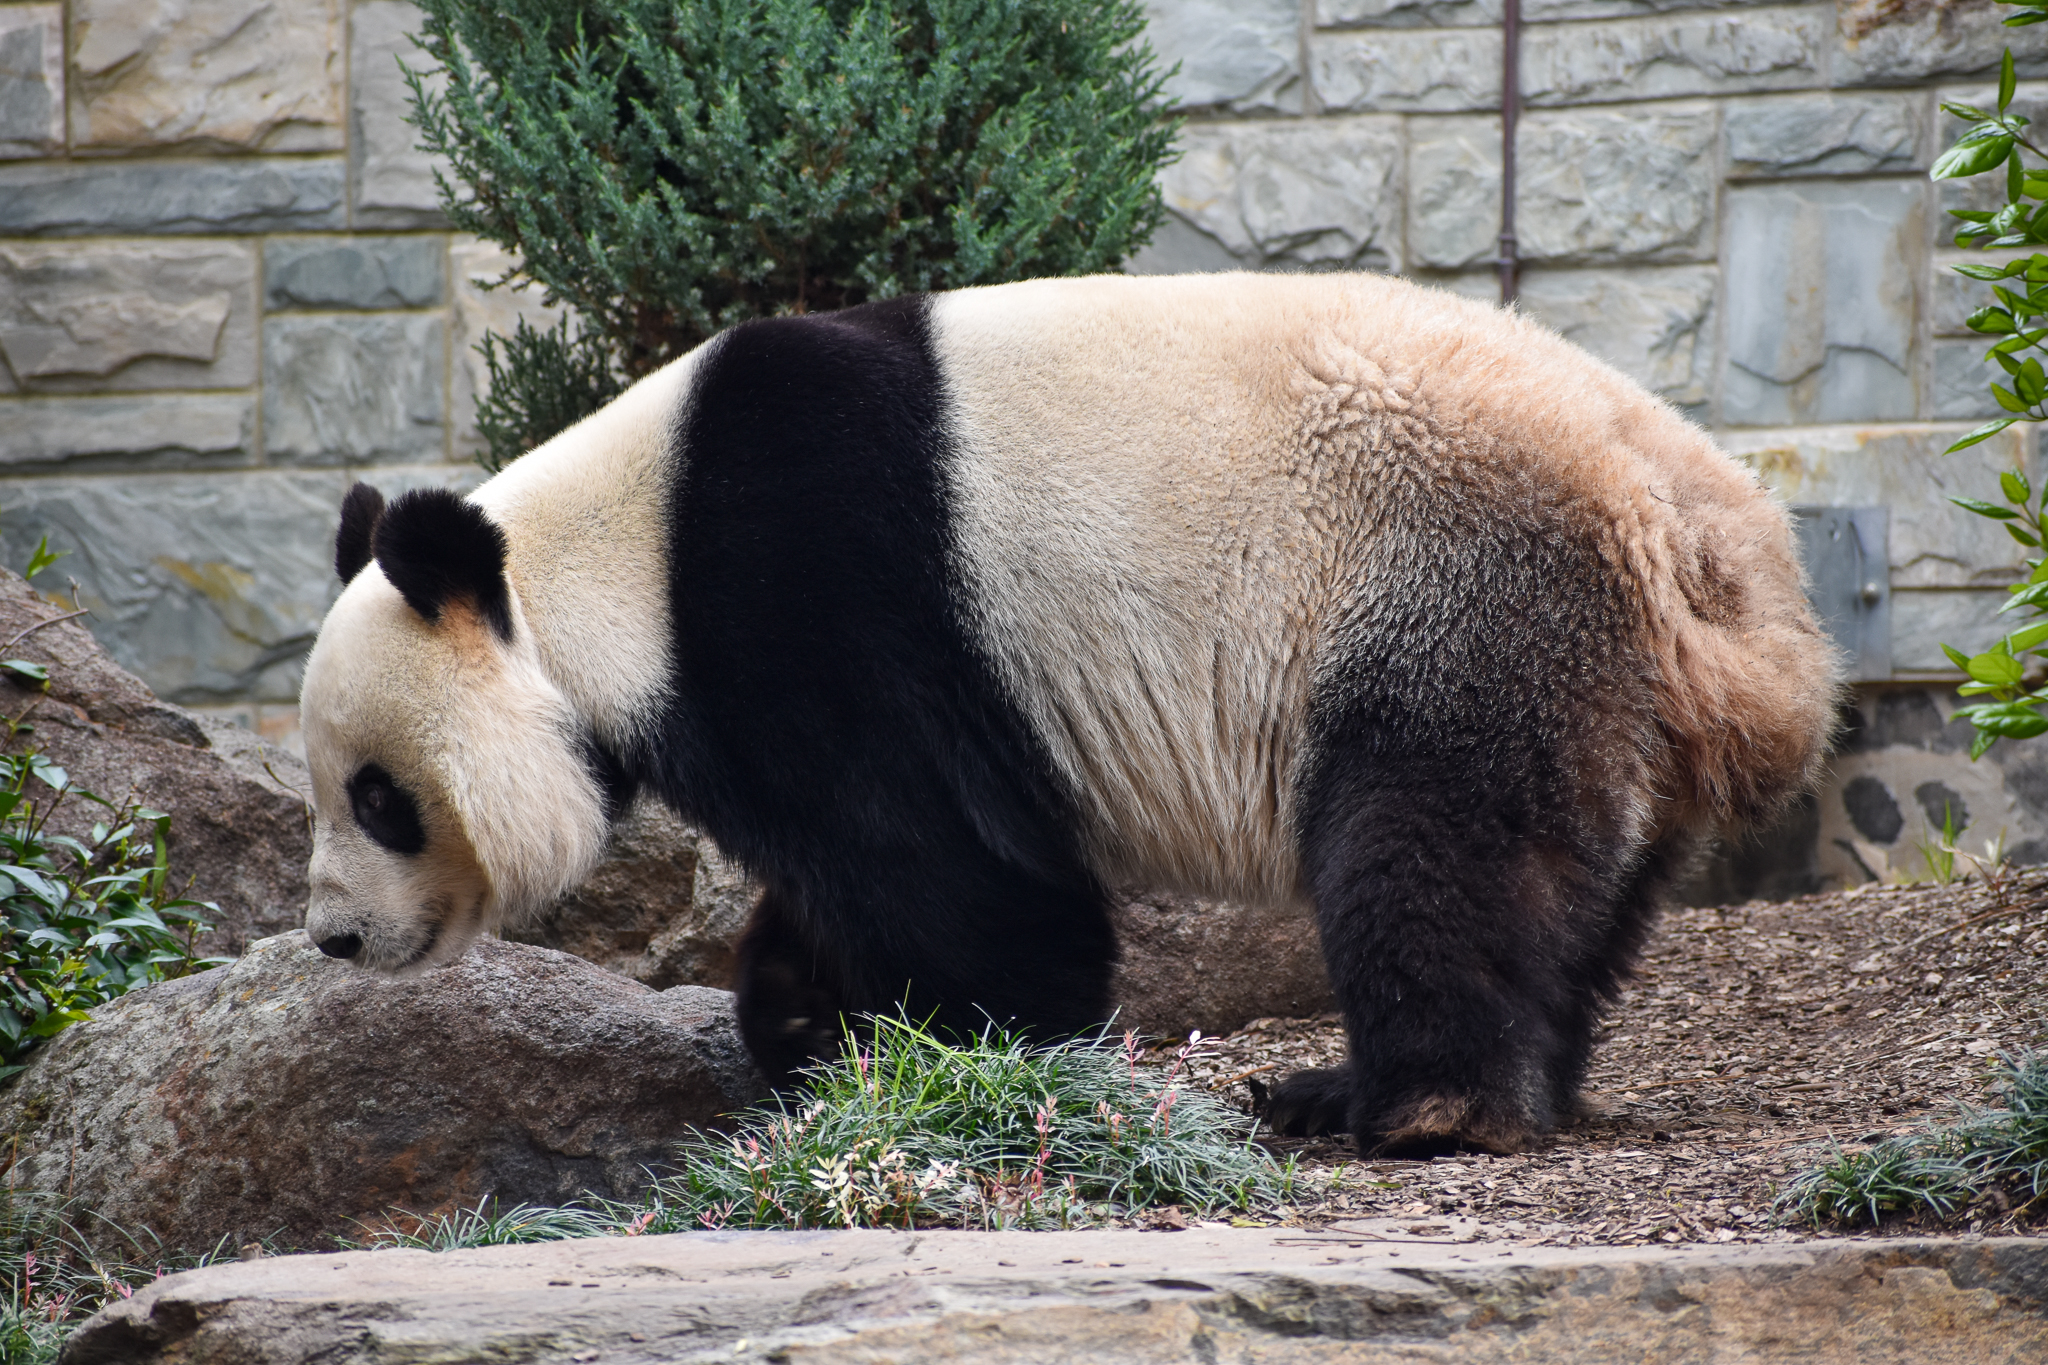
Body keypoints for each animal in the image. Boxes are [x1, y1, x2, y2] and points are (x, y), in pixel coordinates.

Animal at [299, 271, 1836, 1155]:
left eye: (379, 797)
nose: (333, 939)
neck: (615, 555)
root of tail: (1722, 557)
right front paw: (801, 1016)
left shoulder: (808, 598)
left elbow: (949, 867)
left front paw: (970, 1049)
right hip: (1602, 685)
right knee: (1569, 902)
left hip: (1459, 595)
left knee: (1431, 849)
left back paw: (1411, 1108)